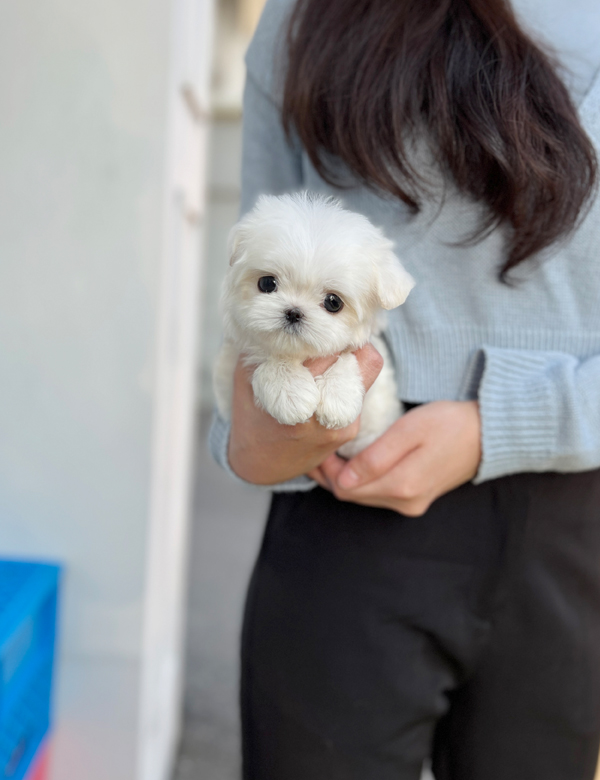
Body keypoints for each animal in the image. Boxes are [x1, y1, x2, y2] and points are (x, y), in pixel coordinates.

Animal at [213, 192, 414, 458]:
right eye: (267, 283)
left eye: (333, 302)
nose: (293, 313)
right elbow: (264, 355)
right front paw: (290, 391)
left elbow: (347, 355)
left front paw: (339, 397)